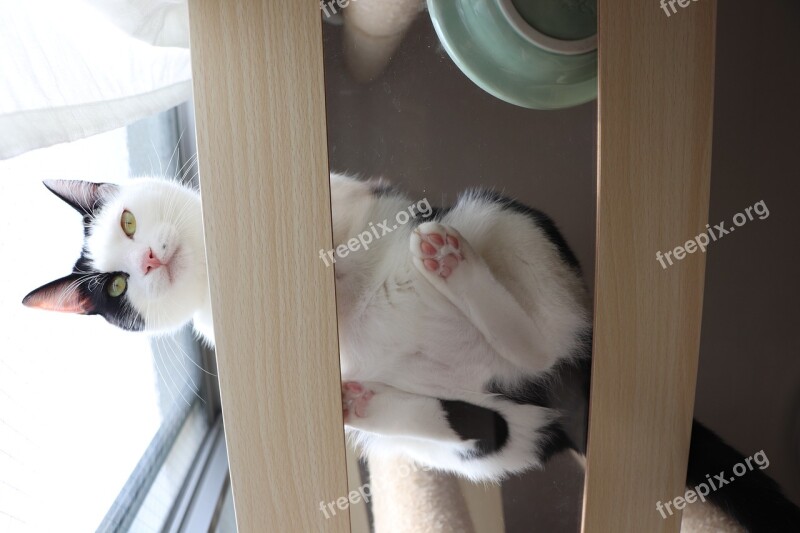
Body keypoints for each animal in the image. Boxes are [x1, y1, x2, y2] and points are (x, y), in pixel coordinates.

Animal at [23, 174, 800, 528]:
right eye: (117, 285)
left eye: (128, 219)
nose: (150, 259)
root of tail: (570, 395)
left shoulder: (358, 199)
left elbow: (349, 206)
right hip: (471, 443)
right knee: (479, 424)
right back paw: (359, 398)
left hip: (501, 224)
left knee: (530, 336)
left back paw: (447, 263)